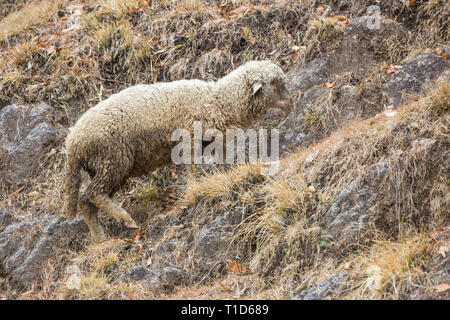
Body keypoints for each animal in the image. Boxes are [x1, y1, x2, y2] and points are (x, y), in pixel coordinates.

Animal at [64, 59, 296, 242]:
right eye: (274, 82)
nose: (291, 102)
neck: (217, 101)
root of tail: (72, 143)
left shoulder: (212, 140)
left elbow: (222, 160)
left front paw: (225, 175)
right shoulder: (189, 141)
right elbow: (192, 168)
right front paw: (193, 189)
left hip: (107, 167)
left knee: (86, 201)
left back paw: (100, 238)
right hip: (111, 159)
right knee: (93, 194)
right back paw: (126, 220)